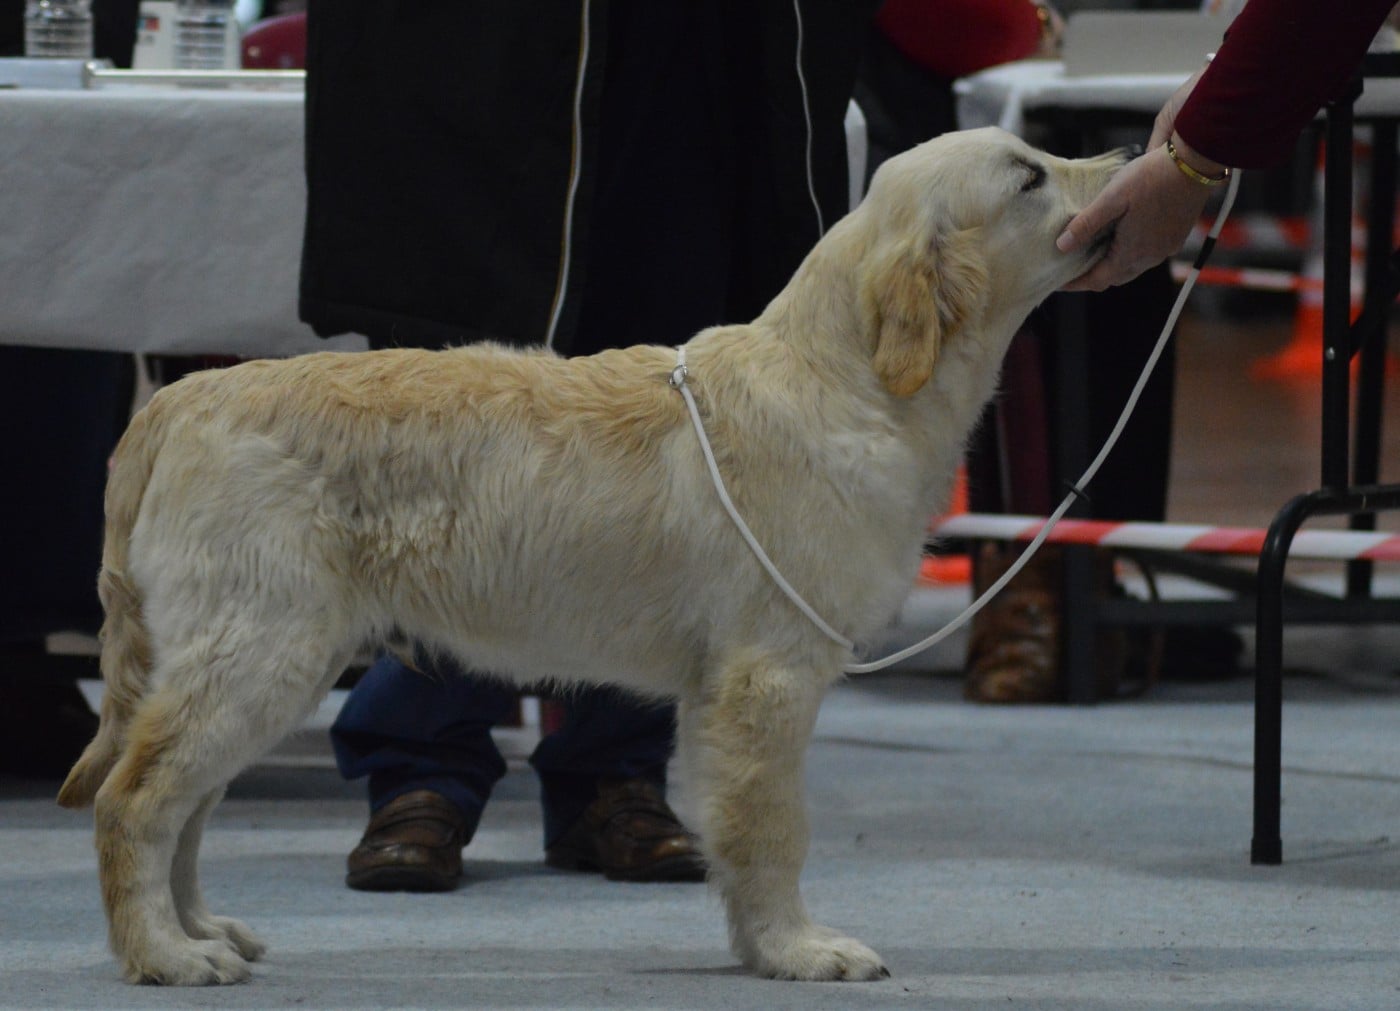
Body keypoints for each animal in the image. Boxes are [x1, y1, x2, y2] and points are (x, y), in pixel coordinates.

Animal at [57, 126, 1125, 985]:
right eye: (1030, 174)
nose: (1124, 163)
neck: (847, 380)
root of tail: (176, 400)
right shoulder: (769, 676)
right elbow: (775, 829)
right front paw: (799, 949)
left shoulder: (720, 690)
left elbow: (737, 831)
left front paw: (761, 947)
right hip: (261, 648)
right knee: (134, 800)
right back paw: (163, 956)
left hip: (258, 655)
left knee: (185, 805)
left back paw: (202, 930)